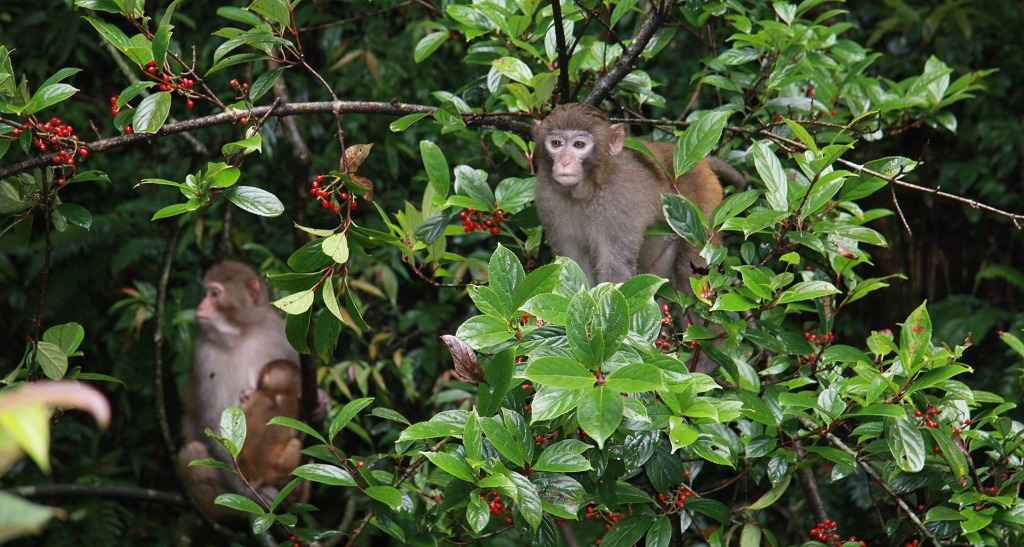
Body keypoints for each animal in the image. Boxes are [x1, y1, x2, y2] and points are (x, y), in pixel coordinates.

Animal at [532, 103, 741, 372]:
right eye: (556, 143)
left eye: (579, 145)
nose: (565, 161)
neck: (587, 191)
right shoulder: (549, 202)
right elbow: (574, 267)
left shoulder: (620, 204)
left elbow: (617, 272)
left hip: (704, 208)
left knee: (691, 270)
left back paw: (706, 360)